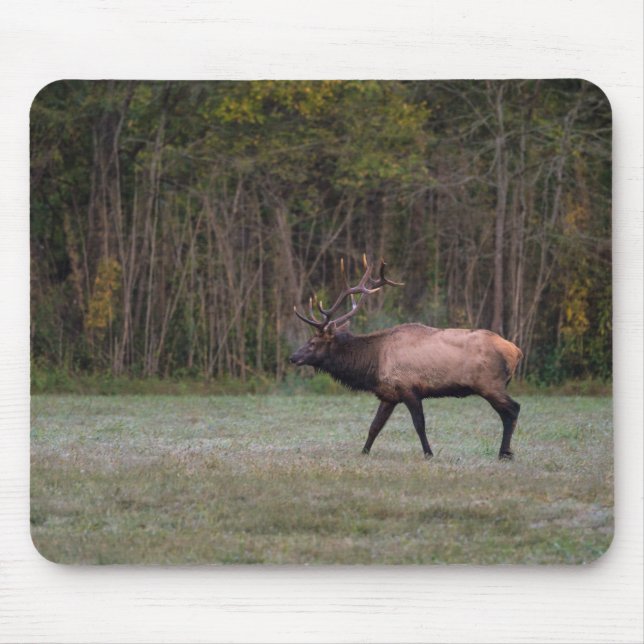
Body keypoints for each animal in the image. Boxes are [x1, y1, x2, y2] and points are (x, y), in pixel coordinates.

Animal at [290, 255, 523, 460]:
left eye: (313, 342)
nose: (293, 357)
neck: (373, 364)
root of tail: (516, 351)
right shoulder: (389, 395)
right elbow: (374, 426)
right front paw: (363, 452)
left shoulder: (409, 389)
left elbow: (419, 425)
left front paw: (429, 453)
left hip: (489, 383)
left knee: (513, 409)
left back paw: (504, 453)